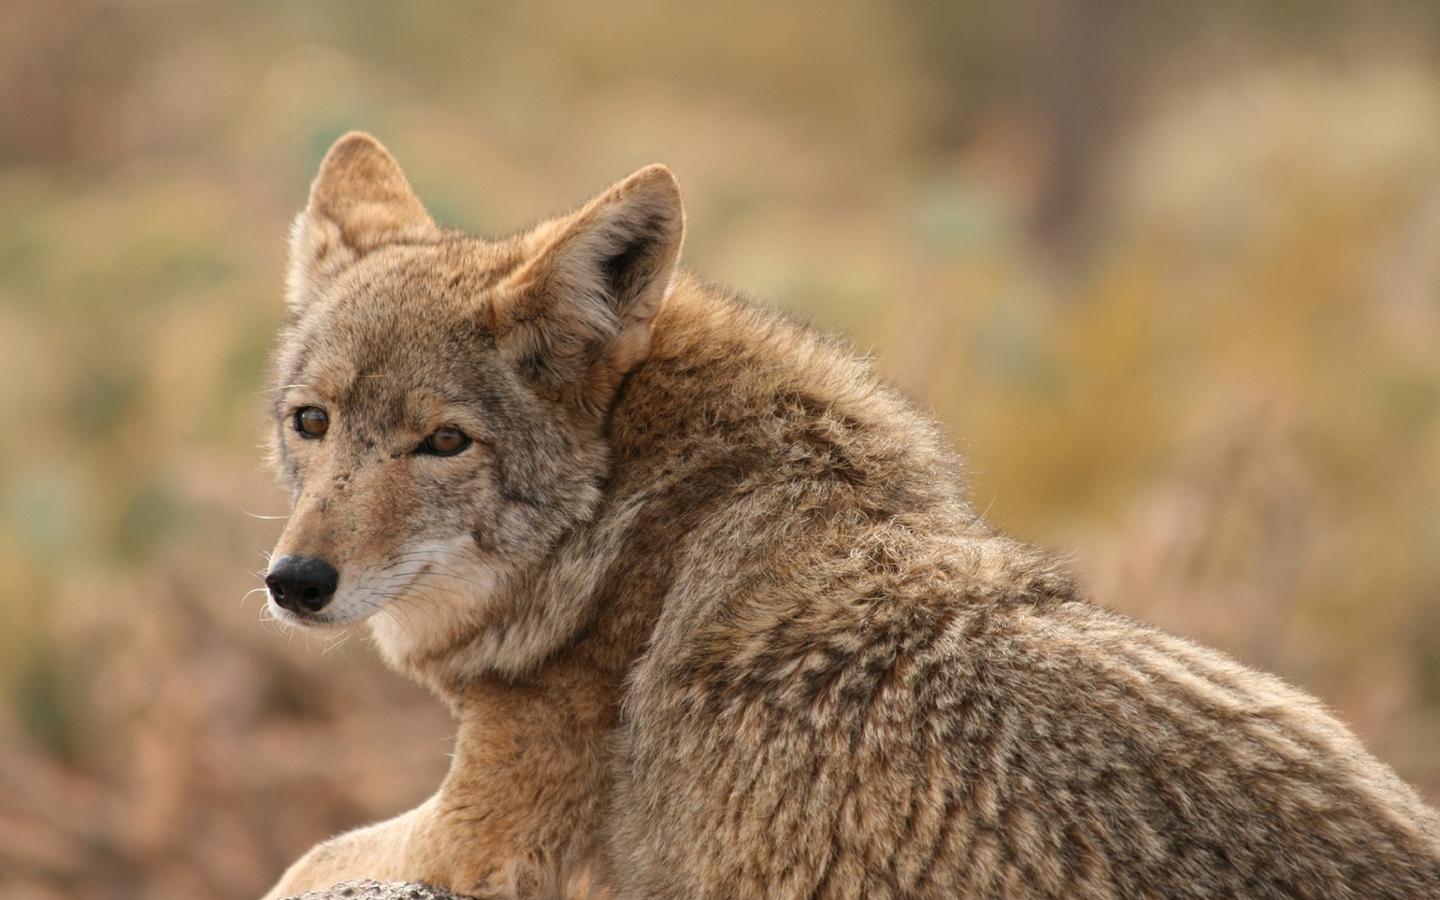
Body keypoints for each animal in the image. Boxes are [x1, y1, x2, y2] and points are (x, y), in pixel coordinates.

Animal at [259, 132, 1440, 899]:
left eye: (443, 442)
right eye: (312, 423)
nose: (295, 583)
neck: (625, 525)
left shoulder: (479, 844)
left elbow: (300, 861)